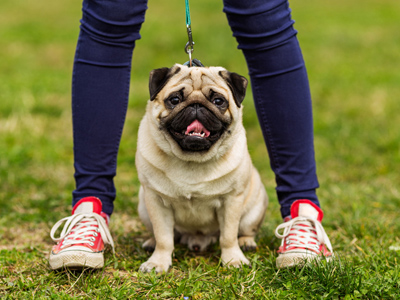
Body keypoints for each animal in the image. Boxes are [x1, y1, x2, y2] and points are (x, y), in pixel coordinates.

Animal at [136, 62, 268, 272]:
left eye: (218, 101)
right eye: (174, 100)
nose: (196, 105)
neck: (192, 159)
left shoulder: (231, 201)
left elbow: (228, 236)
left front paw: (233, 259)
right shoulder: (156, 200)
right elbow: (164, 237)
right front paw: (158, 262)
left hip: (254, 208)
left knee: (245, 230)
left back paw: (246, 242)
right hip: (143, 206)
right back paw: (151, 242)